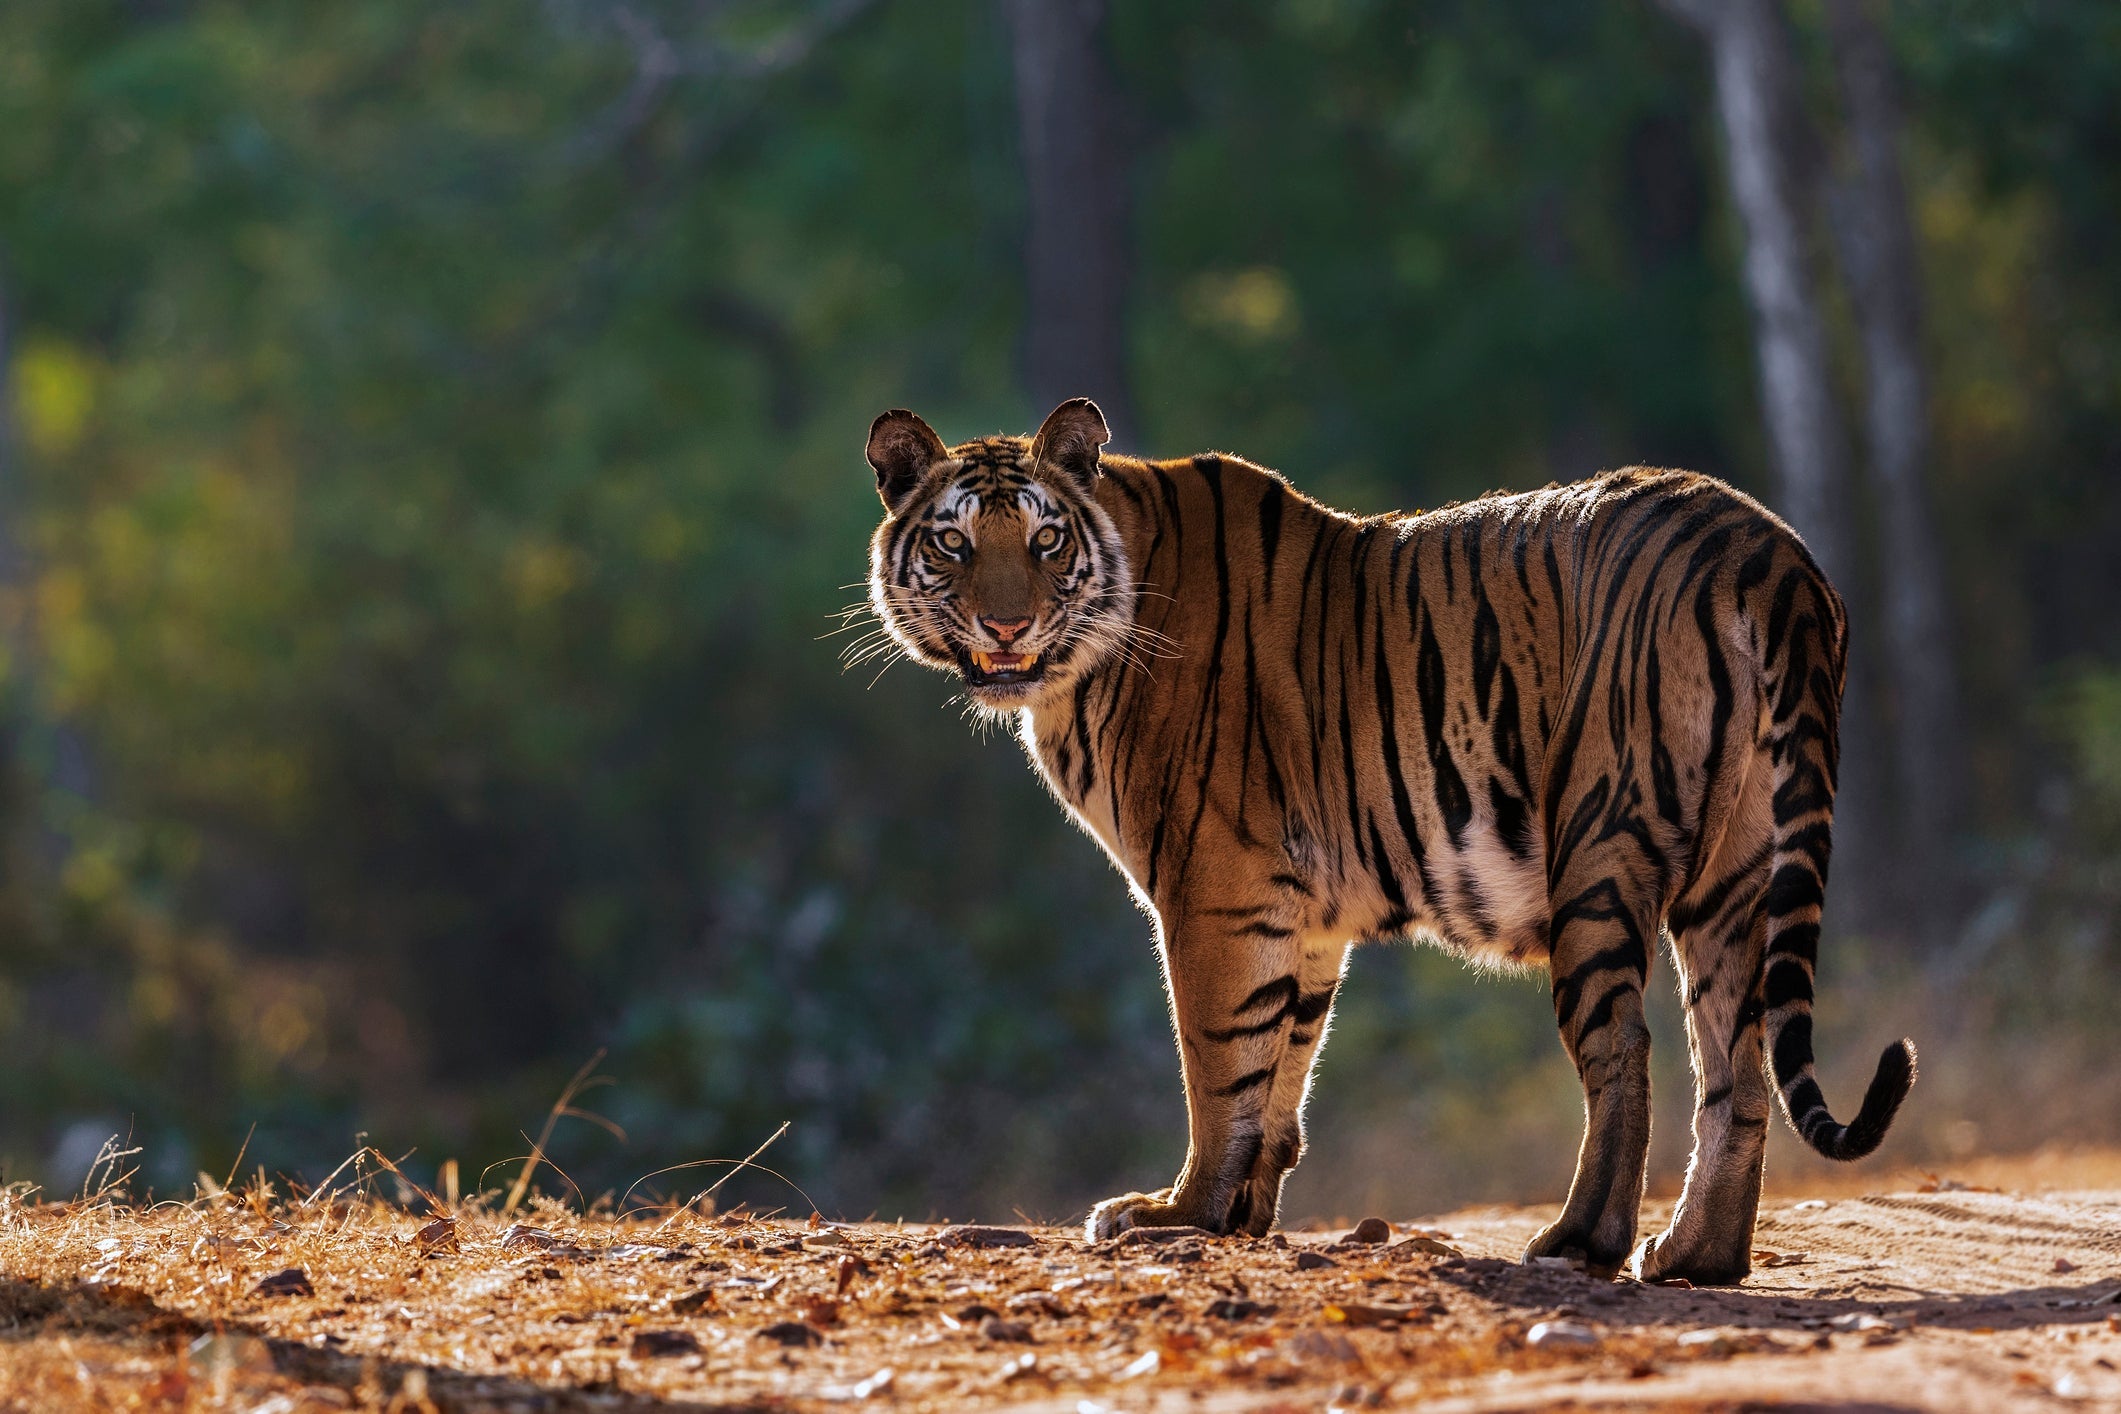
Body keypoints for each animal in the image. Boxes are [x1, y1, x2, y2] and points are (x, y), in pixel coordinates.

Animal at [860, 396, 1915, 1284]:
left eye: (1046, 539)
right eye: (953, 542)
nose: (1007, 625)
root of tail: (1761, 547)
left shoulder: (1211, 888)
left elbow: (1216, 1061)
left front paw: (1180, 1214)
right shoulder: (1297, 913)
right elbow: (1281, 1062)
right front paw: (1240, 1214)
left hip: (1600, 840)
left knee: (1624, 1048)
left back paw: (1581, 1242)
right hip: (1736, 873)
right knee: (1734, 1067)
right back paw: (1697, 1256)